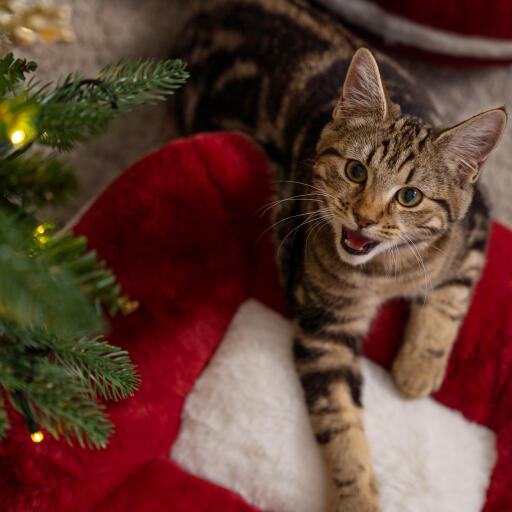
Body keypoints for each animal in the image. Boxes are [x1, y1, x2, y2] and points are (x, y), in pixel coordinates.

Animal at [171, 1, 504, 512]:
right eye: (355, 170)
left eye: (409, 196)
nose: (363, 218)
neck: (385, 273)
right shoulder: (323, 328)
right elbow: (341, 423)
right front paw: (358, 498)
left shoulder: (475, 225)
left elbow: (449, 296)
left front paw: (417, 368)